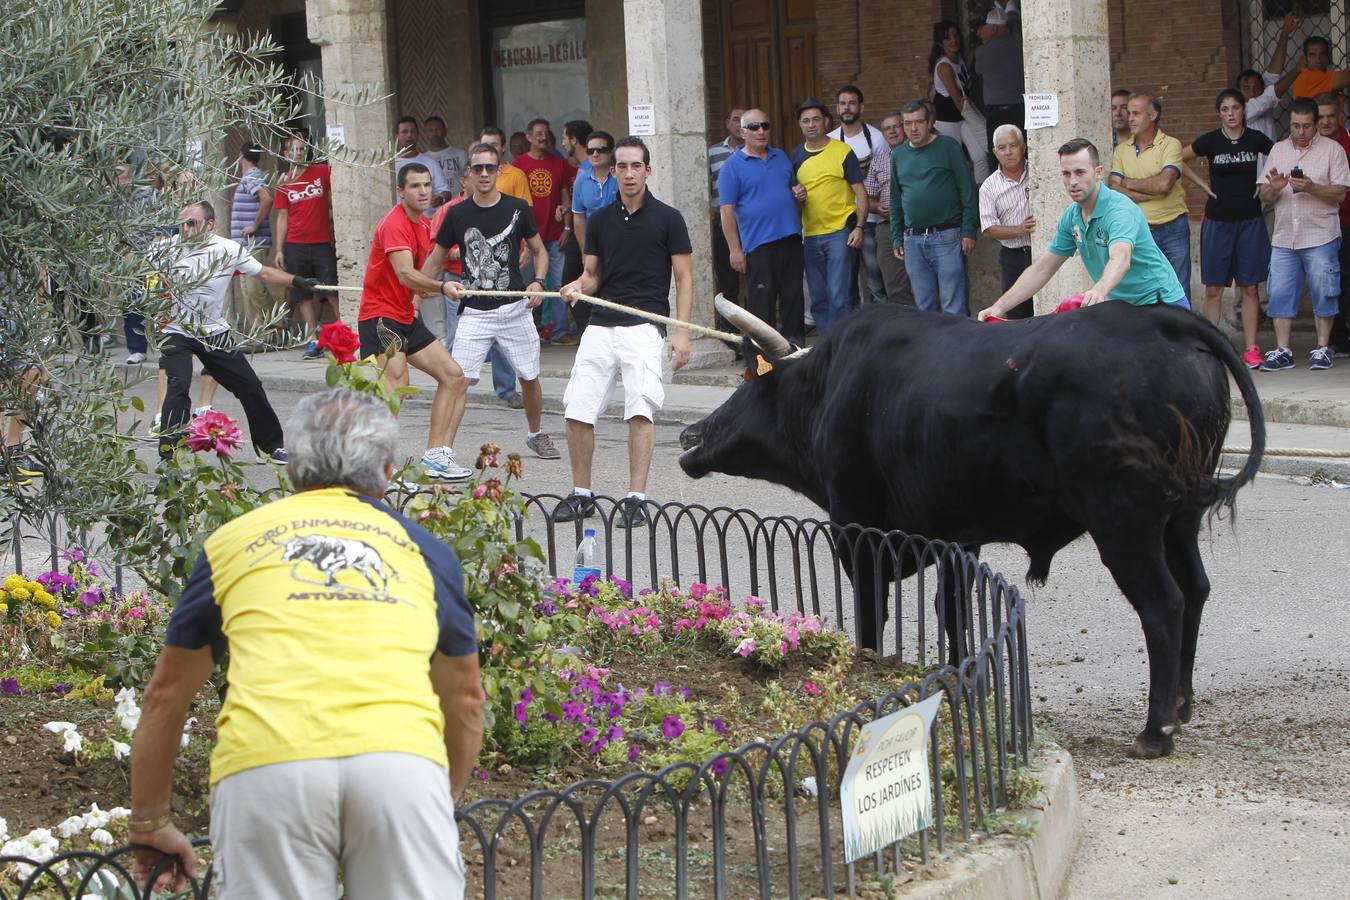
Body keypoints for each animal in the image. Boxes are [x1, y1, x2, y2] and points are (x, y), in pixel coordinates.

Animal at [685, 304, 1263, 761]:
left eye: (746, 384)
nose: (692, 434)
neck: (830, 385)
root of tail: (1160, 318)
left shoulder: (858, 528)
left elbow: (873, 613)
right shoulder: (957, 535)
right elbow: (954, 608)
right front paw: (969, 684)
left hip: (1124, 522)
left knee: (1163, 604)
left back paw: (1155, 729)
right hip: (1178, 520)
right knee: (1195, 589)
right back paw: (1182, 704)